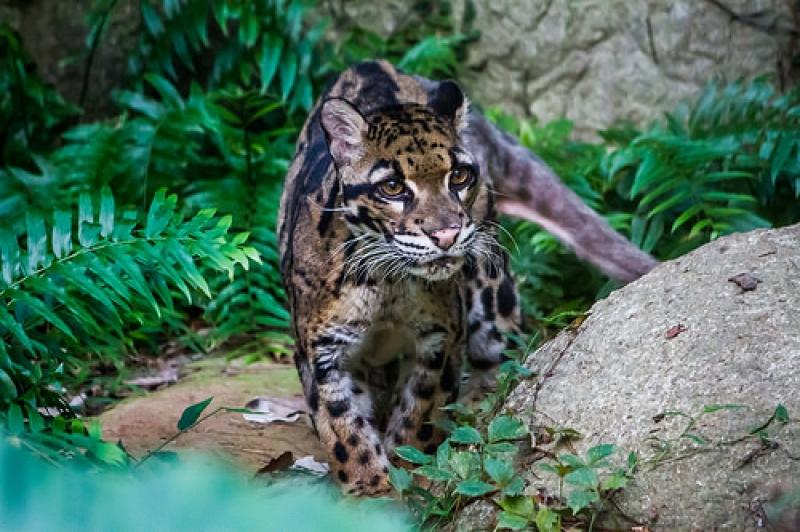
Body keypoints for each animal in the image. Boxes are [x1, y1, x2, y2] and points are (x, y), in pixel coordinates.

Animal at [278, 59, 652, 494]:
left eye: (458, 176)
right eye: (393, 187)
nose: (446, 234)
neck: (388, 282)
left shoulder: (439, 341)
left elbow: (418, 419)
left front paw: (410, 473)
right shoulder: (324, 354)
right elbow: (346, 434)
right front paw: (372, 491)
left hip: (491, 291)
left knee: (503, 364)